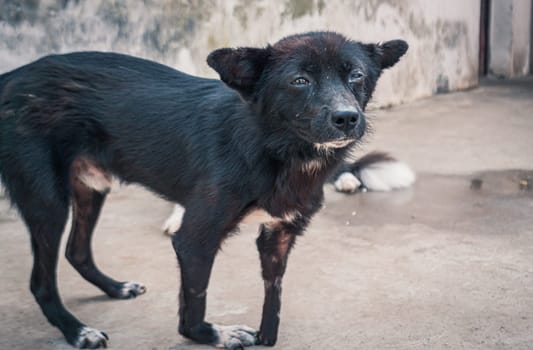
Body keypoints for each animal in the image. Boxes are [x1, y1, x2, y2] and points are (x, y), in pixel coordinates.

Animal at [1, 31, 408, 348]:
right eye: (299, 81)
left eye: (356, 75)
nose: (347, 118)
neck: (272, 146)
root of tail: (12, 76)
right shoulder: (195, 239)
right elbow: (193, 303)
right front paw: (213, 335)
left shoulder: (279, 233)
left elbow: (273, 294)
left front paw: (267, 337)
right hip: (48, 201)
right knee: (41, 282)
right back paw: (77, 332)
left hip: (90, 185)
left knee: (77, 251)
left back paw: (114, 289)